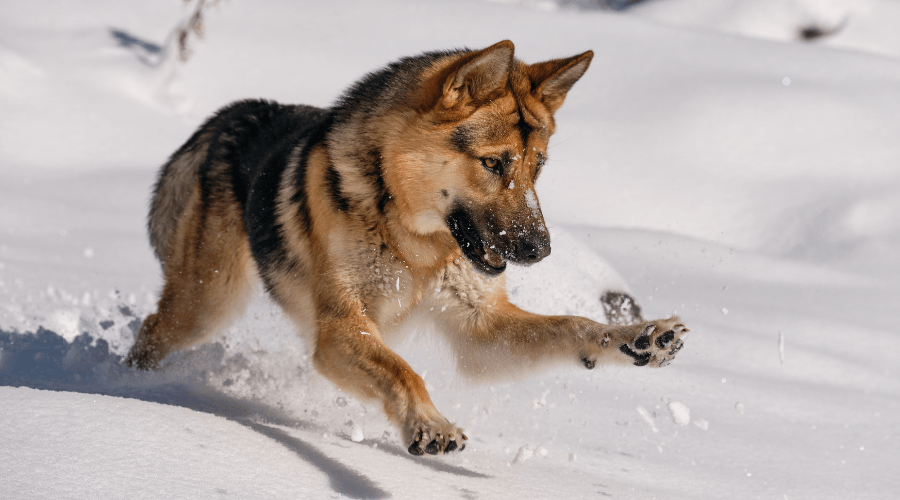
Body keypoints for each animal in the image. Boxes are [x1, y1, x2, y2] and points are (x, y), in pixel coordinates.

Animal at [126, 42, 684, 458]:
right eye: (494, 163)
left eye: (538, 166)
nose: (541, 249)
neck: (413, 242)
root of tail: (235, 113)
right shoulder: (339, 329)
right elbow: (403, 371)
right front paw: (429, 424)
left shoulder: (481, 330)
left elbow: (575, 325)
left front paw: (640, 337)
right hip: (208, 305)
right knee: (151, 331)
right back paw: (133, 389)